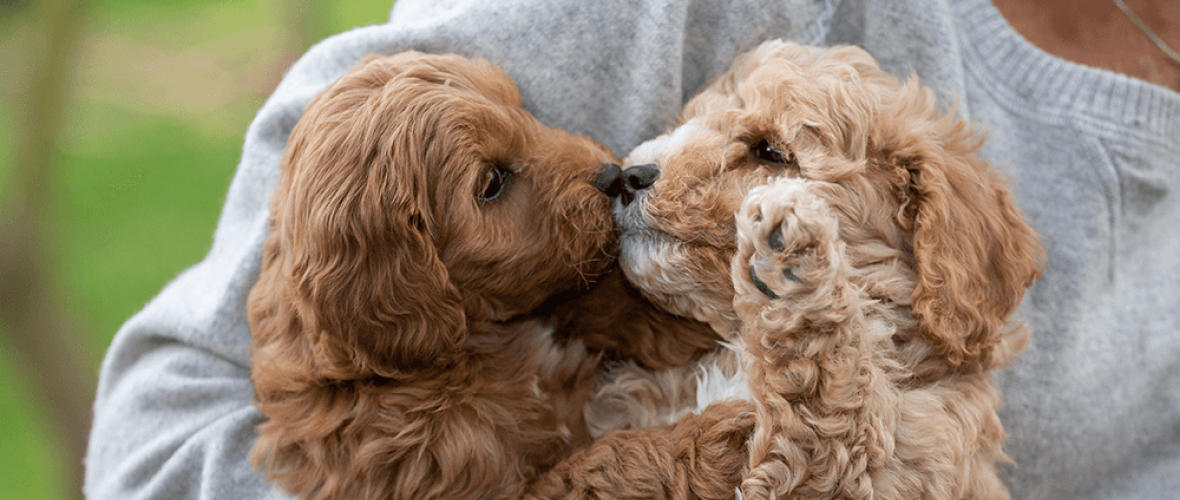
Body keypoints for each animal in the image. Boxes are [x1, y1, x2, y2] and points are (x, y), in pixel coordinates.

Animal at [244, 50, 712, 499]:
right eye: (492, 182)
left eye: (520, 109)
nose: (612, 177)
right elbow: (598, 470)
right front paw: (713, 441)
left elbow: (590, 297)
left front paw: (682, 317)